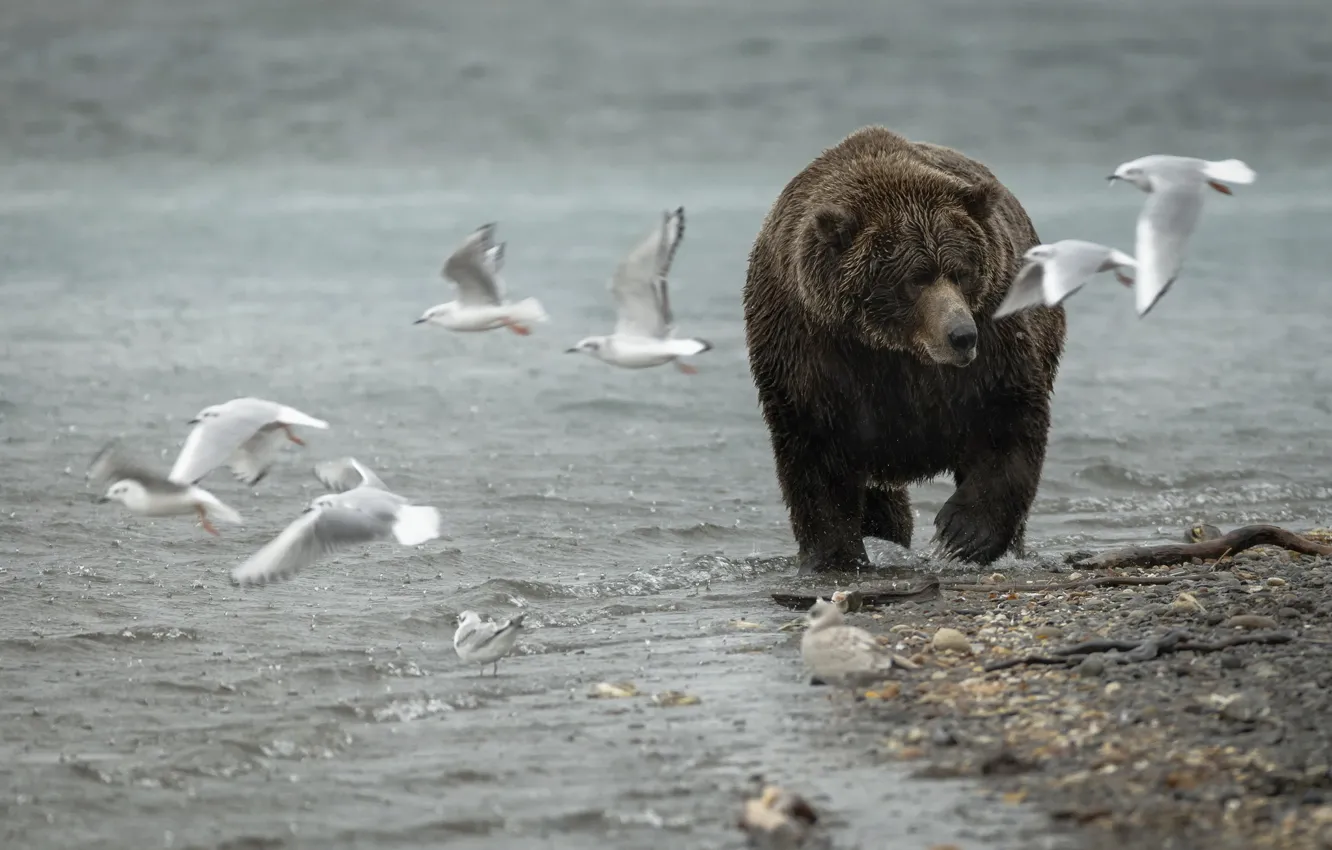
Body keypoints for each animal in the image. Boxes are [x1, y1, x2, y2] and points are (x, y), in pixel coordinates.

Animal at [742, 125, 1066, 574]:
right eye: (916, 277)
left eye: (961, 272)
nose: (961, 335)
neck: (893, 348)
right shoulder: (811, 350)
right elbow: (815, 455)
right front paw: (834, 555)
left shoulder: (993, 344)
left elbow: (1008, 421)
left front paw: (960, 535)